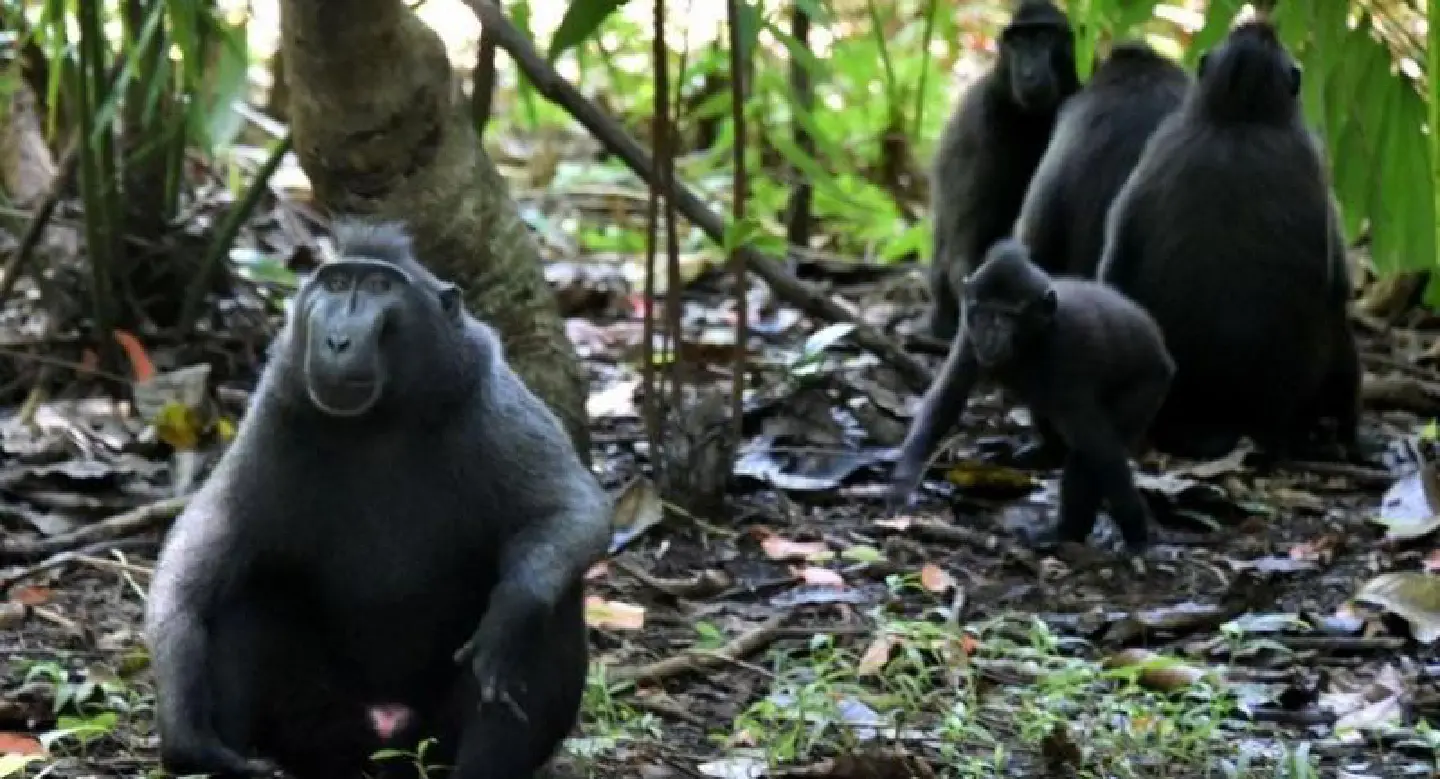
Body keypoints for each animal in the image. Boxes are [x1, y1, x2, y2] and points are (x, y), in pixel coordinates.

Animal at [143, 219, 611, 779]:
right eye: (336, 284)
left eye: (380, 287)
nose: (338, 340)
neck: (380, 421)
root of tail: (385, 740)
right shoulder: (274, 416)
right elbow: (199, 556)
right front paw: (183, 730)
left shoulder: (491, 402)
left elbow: (571, 509)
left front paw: (510, 614)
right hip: (317, 730)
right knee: (243, 596)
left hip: (430, 740)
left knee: (552, 606)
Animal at [892, 238, 1174, 554]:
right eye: (983, 312)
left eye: (1008, 315)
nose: (990, 334)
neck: (1035, 335)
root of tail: (1163, 355)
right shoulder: (967, 334)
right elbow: (947, 397)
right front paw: (903, 481)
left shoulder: (1065, 350)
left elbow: (1099, 449)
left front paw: (1135, 529)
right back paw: (1042, 456)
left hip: (1148, 386)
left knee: (1087, 450)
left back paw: (1066, 532)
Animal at [1097, 19, 1361, 460]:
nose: (1261, 24)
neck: (1241, 115)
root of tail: (1225, 420)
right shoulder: (1310, 156)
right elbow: (1340, 281)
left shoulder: (1159, 147)